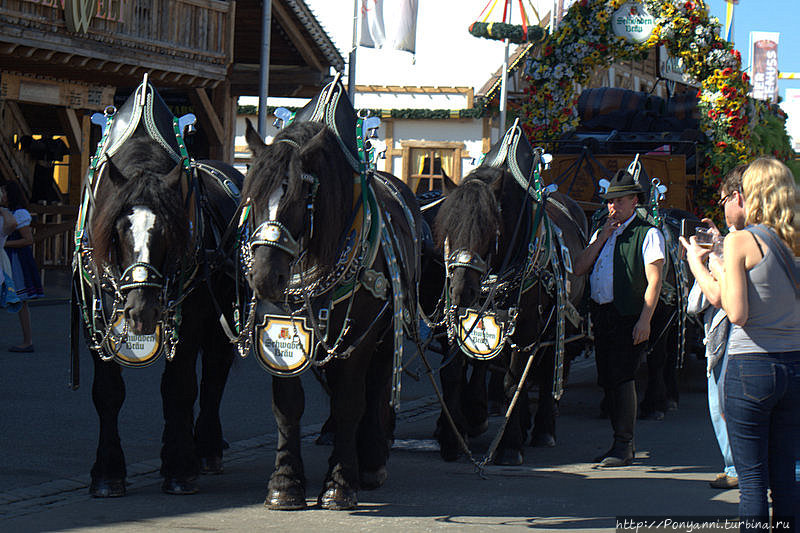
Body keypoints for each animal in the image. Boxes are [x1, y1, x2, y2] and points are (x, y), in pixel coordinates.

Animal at [82, 129, 244, 494]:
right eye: (118, 228)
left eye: (170, 230)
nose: (141, 310)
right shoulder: (95, 323)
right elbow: (107, 393)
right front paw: (107, 473)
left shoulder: (191, 324)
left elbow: (179, 389)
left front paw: (180, 469)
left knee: (214, 376)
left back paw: (207, 448)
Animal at [242, 118, 418, 510]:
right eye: (252, 198)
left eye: (299, 199)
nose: (264, 278)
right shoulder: (276, 331)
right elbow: (287, 405)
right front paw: (285, 483)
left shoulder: (360, 337)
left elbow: (350, 402)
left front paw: (339, 484)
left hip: (386, 335)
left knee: (374, 388)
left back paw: (371, 461)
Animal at [432, 164, 588, 464]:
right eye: (448, 230)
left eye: (488, 231)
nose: (460, 291)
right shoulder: (463, 320)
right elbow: (454, 373)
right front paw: (453, 439)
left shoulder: (526, 324)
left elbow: (513, 381)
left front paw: (509, 446)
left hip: (555, 321)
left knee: (547, 366)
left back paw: (543, 430)